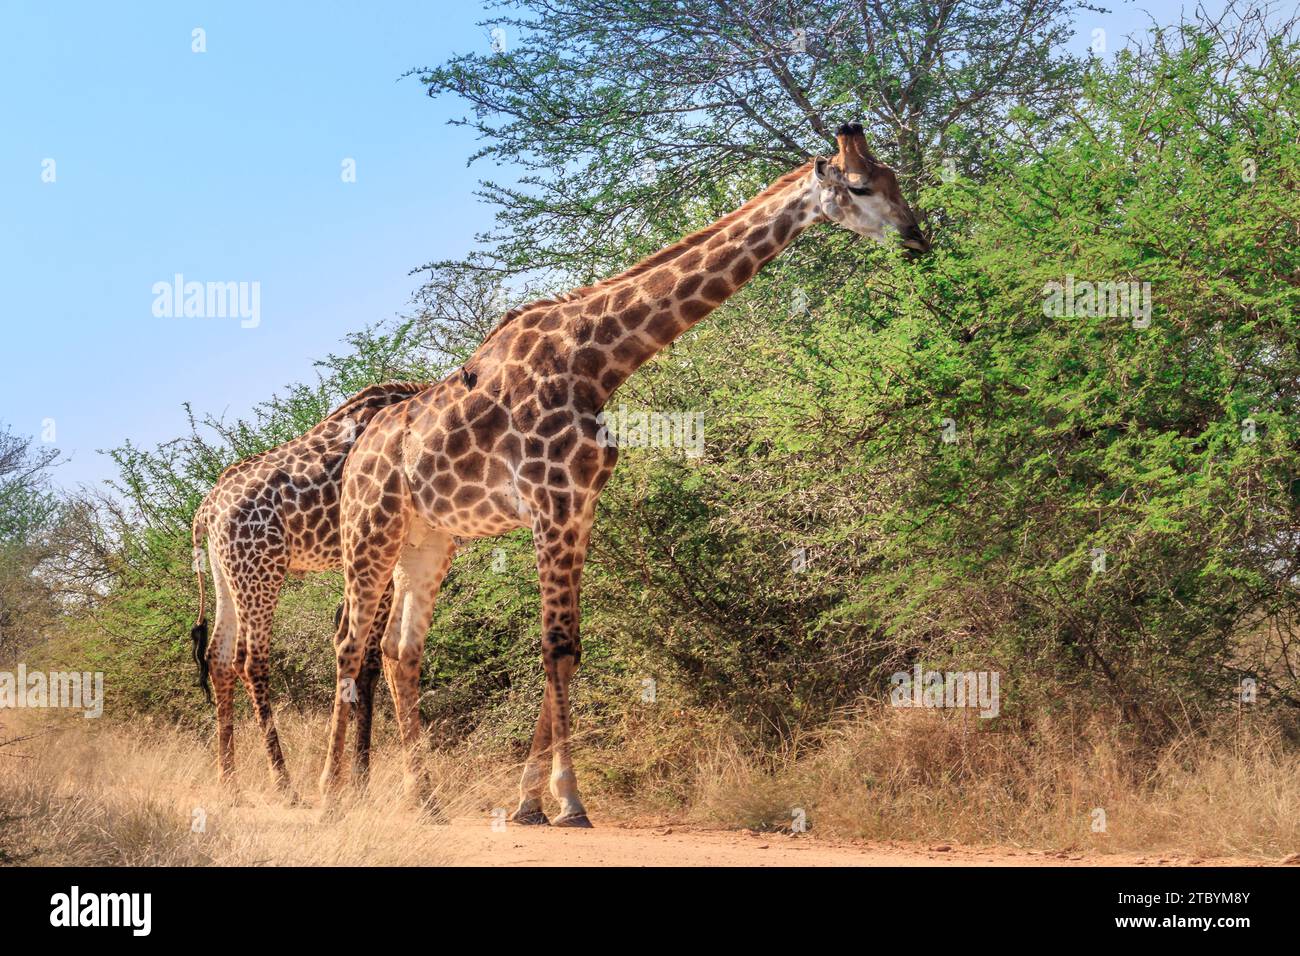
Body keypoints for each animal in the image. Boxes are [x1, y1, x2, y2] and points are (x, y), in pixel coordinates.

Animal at [189, 380, 427, 796]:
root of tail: (207, 511)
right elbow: (372, 659)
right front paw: (360, 779)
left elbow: (372, 657)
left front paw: (359, 779)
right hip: (260, 567)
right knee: (249, 660)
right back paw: (283, 783)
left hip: (226, 570)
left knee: (218, 655)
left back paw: (229, 783)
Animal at [321, 123, 929, 825]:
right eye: (860, 186)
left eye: (892, 178)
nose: (917, 236)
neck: (598, 360)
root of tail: (358, 455)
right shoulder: (551, 499)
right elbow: (557, 645)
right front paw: (569, 801)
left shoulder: (580, 503)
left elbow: (569, 646)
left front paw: (532, 802)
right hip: (369, 534)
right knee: (349, 643)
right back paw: (329, 796)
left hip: (427, 541)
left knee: (399, 651)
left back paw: (426, 802)